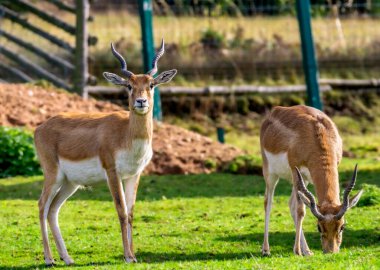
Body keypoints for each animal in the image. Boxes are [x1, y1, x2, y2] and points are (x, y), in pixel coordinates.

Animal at [35, 39, 177, 264]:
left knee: (53, 210)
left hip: (70, 183)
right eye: (129, 85)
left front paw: (134, 255)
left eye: (151, 85)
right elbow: (121, 211)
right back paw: (49, 259)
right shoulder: (112, 173)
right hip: (53, 175)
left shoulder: (134, 175)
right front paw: (127, 256)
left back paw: (67, 258)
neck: (127, 134)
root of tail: (40, 127)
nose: (141, 102)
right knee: (42, 206)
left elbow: (131, 213)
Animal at [260, 105, 364, 255]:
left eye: (342, 226)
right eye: (319, 227)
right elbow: (301, 211)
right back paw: (266, 249)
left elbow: (299, 207)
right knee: (268, 202)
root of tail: (274, 111)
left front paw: (302, 250)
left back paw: (307, 251)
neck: (316, 134)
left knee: (291, 204)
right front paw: (297, 251)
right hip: (271, 174)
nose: (330, 251)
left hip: (303, 180)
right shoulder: (295, 170)